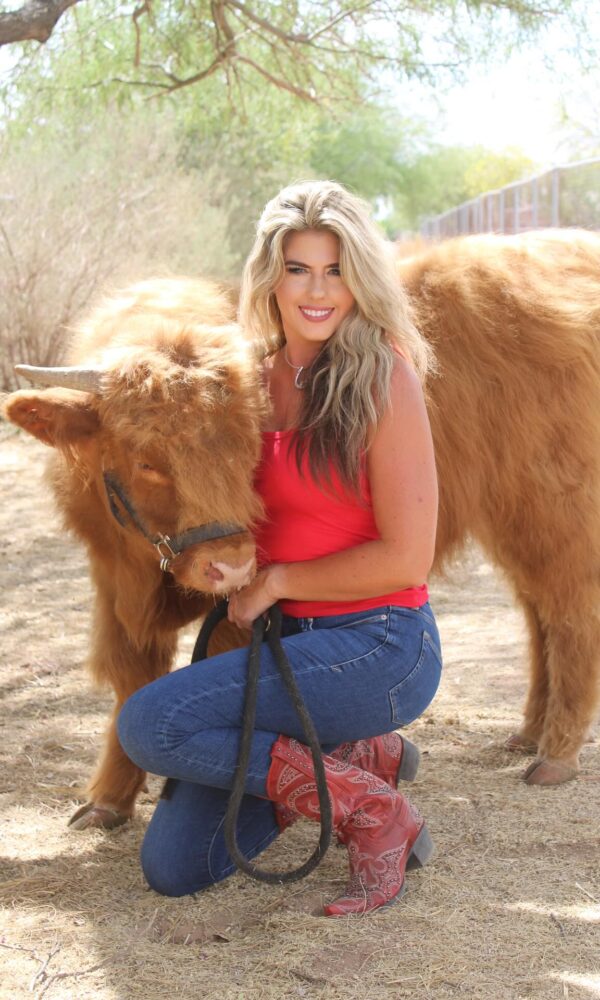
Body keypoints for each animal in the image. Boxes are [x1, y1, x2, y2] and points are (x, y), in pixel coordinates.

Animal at [4, 230, 600, 829]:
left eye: (249, 448)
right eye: (146, 459)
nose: (230, 566)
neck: (150, 577)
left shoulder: (241, 611)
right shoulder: (113, 578)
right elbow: (131, 679)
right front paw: (107, 800)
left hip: (557, 511)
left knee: (571, 613)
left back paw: (554, 755)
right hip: (516, 521)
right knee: (539, 615)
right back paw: (526, 734)